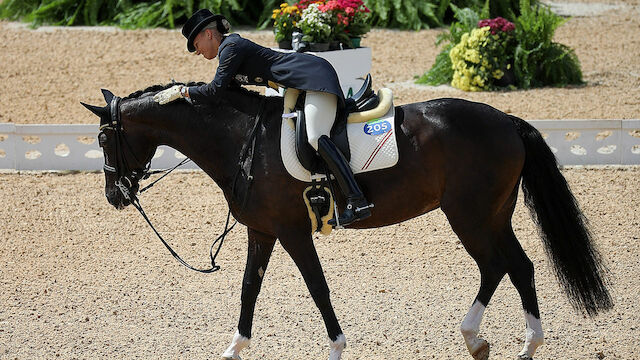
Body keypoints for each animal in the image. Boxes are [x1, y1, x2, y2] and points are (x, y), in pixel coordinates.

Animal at [82, 82, 612, 360]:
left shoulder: (293, 233)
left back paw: (495, 340)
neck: (241, 139)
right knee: (514, 267)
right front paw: (233, 349)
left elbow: (318, 289)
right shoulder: (262, 230)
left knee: (502, 265)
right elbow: (249, 288)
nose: (115, 196)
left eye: (105, 137)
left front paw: (336, 348)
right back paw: (503, 343)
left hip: (472, 215)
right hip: (490, 214)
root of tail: (506, 120)